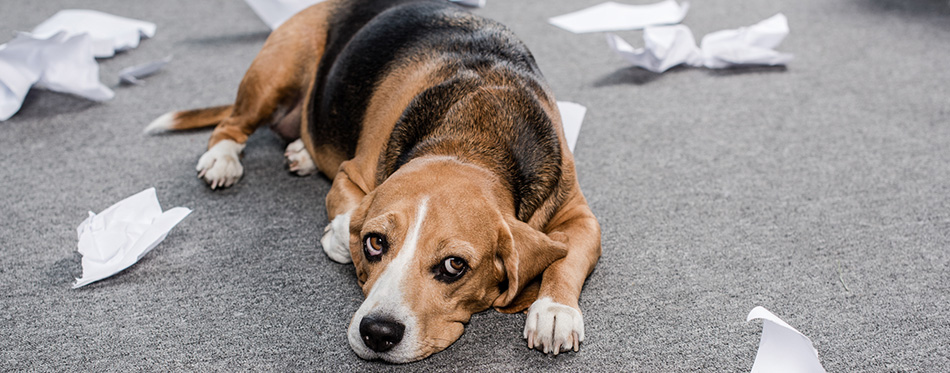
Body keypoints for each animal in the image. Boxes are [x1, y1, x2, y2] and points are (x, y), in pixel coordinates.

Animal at [145, 0, 604, 362]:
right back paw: (223, 160)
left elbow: (567, 258)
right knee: (231, 124)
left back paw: (300, 153)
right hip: (278, 68)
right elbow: (347, 210)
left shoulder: (582, 217)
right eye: (375, 243)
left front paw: (554, 311)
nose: (377, 333)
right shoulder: (352, 173)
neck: (470, 137)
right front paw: (337, 236)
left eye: (454, 266)